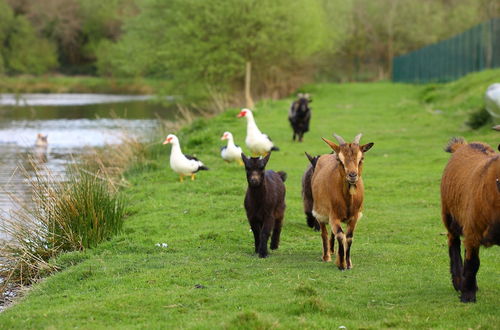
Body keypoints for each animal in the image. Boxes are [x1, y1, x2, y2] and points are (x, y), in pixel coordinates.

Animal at [310, 133, 374, 270]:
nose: (352, 175)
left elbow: (348, 237)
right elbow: (340, 235)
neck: (347, 201)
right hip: (320, 211)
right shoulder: (333, 215)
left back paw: (332, 251)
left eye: (361, 158)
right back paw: (326, 256)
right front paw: (341, 264)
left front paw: (348, 263)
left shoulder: (354, 217)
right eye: (340, 160)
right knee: (324, 232)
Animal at [442, 137, 500, 302]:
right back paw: (458, 282)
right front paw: (467, 295)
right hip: (450, 215)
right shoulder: (473, 231)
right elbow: (473, 263)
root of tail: (464, 145)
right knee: (453, 242)